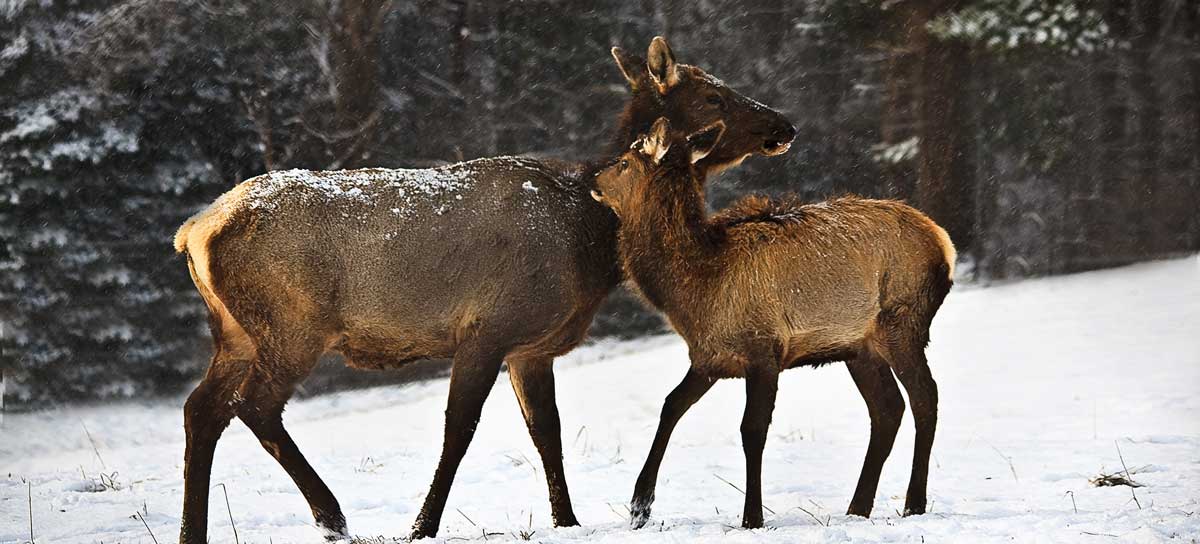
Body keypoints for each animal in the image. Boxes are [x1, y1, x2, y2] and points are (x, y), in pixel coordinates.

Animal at [174, 36, 796, 540]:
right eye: (714, 96)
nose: (784, 126)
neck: (592, 237)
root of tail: (195, 230)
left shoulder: (531, 347)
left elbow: (547, 431)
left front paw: (567, 520)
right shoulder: (490, 327)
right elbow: (459, 430)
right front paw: (422, 525)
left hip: (236, 332)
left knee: (201, 407)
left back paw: (192, 531)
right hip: (291, 323)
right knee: (253, 405)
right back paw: (332, 516)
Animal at [590, 116, 955, 528]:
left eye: (623, 162)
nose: (593, 179)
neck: (695, 289)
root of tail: (944, 243)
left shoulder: (763, 349)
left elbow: (752, 429)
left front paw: (752, 516)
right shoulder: (709, 357)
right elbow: (671, 406)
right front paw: (640, 505)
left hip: (903, 321)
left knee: (925, 397)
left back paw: (913, 503)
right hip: (859, 347)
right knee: (888, 408)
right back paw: (858, 507)